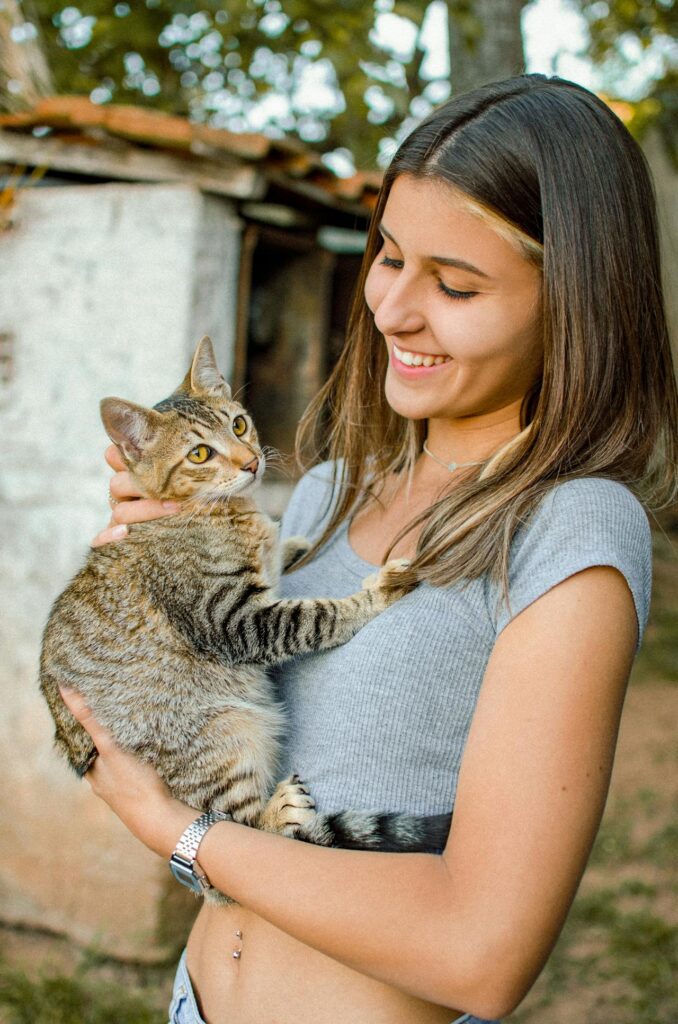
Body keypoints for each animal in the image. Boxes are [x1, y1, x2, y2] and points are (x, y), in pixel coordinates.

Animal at [43, 335, 456, 897]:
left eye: (238, 424)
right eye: (199, 453)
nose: (251, 462)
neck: (225, 511)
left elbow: (282, 554)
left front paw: (293, 542)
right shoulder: (231, 619)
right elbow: (315, 615)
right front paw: (377, 591)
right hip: (220, 735)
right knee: (233, 843)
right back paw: (275, 814)